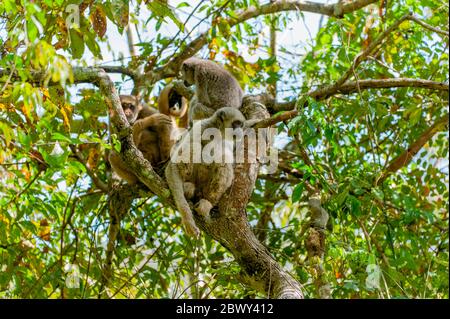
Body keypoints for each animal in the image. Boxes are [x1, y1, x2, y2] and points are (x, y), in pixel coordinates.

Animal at [164, 107, 244, 238]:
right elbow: (172, 166)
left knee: (222, 158)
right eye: (236, 123)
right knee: (195, 146)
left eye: (241, 125)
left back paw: (206, 200)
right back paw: (188, 186)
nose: (240, 130)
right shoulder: (201, 126)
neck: (217, 132)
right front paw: (187, 219)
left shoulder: (228, 142)